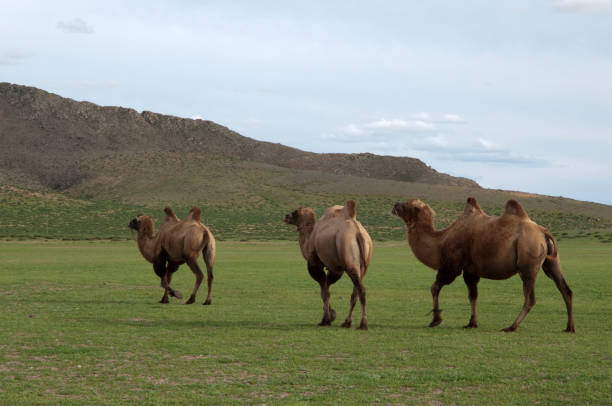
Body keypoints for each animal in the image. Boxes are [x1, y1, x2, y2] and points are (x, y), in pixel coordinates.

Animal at [284, 200, 372, 330]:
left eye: (295, 212)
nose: (286, 216)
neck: (309, 240)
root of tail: (358, 232)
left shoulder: (315, 263)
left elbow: (324, 291)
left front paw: (325, 320)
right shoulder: (335, 268)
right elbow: (327, 288)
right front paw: (331, 315)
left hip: (348, 257)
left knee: (361, 289)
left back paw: (363, 324)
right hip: (363, 265)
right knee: (355, 292)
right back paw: (347, 322)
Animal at [392, 197, 572, 334]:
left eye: (408, 204)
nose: (395, 205)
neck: (440, 241)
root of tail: (544, 232)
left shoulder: (452, 264)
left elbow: (435, 287)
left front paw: (436, 320)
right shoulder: (470, 271)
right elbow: (473, 296)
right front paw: (472, 323)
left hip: (528, 263)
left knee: (530, 298)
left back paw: (511, 326)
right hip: (552, 261)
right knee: (565, 290)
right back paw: (569, 327)